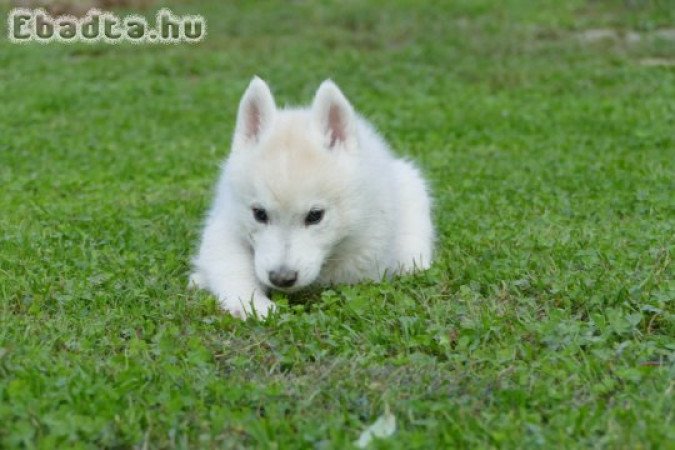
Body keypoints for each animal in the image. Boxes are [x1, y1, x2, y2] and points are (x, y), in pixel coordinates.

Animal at [189, 77, 434, 318]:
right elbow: (230, 265)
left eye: (315, 216)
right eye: (259, 214)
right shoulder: (226, 224)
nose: (282, 278)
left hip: (412, 185)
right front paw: (253, 304)